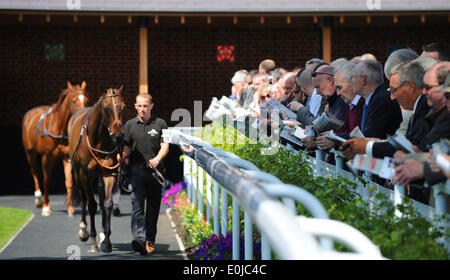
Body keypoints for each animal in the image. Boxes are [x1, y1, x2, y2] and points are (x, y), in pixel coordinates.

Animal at [22, 81, 89, 217]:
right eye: (73, 100)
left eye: (86, 99)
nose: (83, 115)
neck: (58, 128)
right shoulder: (47, 158)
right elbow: (46, 181)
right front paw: (46, 207)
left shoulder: (68, 158)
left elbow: (69, 182)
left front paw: (70, 209)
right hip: (30, 153)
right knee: (34, 172)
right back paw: (38, 199)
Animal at [67, 84, 126, 253]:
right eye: (106, 108)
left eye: (124, 107)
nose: (118, 136)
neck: (98, 141)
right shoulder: (84, 175)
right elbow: (91, 205)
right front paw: (93, 240)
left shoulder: (109, 173)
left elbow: (107, 204)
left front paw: (106, 241)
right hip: (78, 173)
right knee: (84, 198)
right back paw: (83, 231)